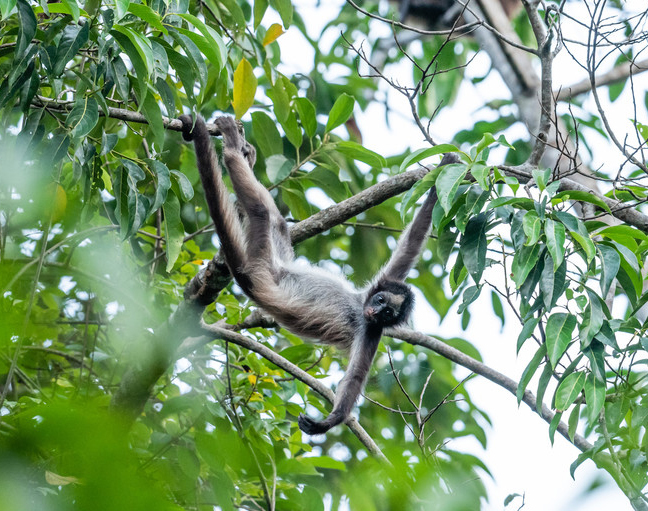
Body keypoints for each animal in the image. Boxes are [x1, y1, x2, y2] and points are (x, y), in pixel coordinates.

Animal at [180, 114, 459, 435]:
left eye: (389, 314)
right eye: (380, 301)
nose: (376, 312)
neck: (359, 308)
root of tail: (254, 279)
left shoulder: (371, 332)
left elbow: (353, 380)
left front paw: (329, 421)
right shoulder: (387, 282)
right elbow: (411, 244)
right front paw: (443, 170)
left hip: (262, 262)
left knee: (261, 211)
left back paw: (233, 152)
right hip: (275, 259)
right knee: (273, 217)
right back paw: (240, 150)